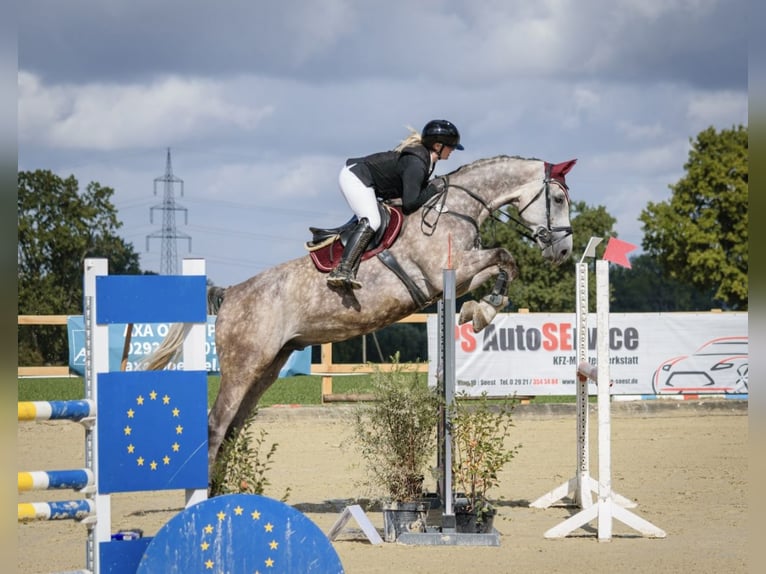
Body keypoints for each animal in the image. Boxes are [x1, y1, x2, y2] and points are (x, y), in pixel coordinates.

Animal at [143, 155, 576, 479]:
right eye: (557, 198)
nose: (563, 252)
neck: (458, 207)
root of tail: (231, 292)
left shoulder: (463, 274)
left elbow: (504, 265)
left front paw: (479, 310)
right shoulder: (447, 270)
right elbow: (506, 255)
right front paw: (483, 311)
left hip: (268, 366)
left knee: (232, 426)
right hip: (243, 364)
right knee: (216, 425)